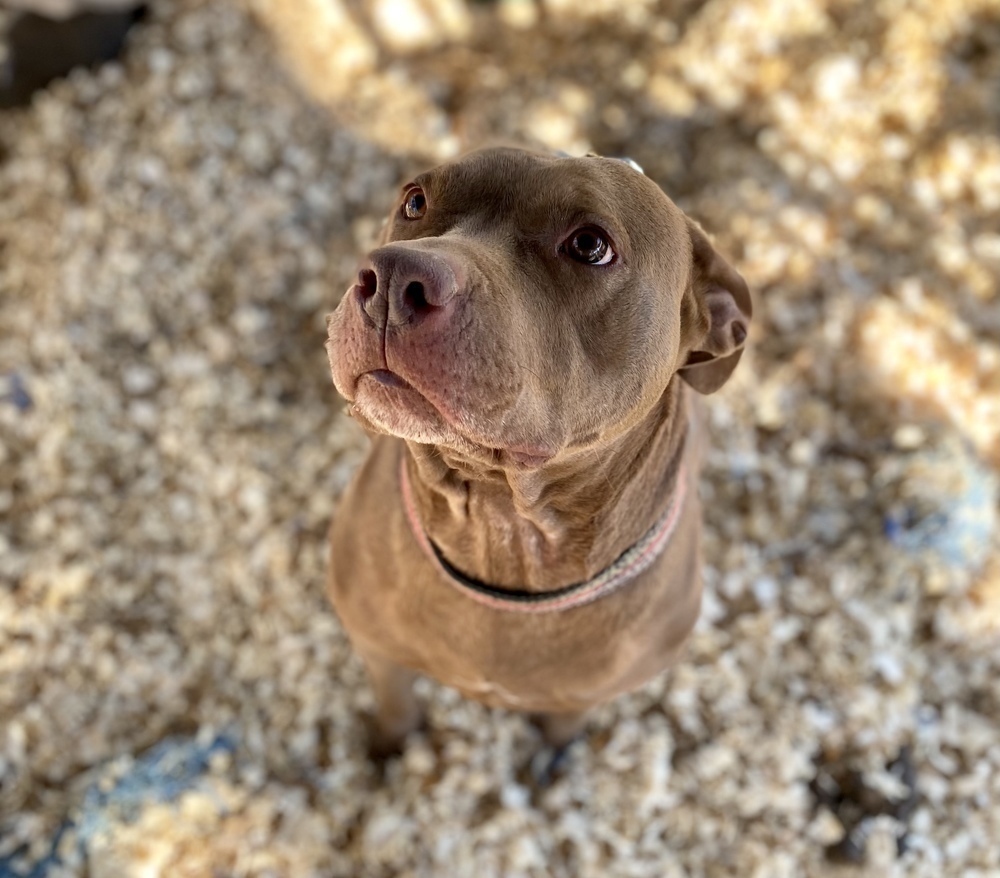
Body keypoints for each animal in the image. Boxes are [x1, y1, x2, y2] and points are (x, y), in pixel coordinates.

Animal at [328, 146, 752, 764]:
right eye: (415, 201)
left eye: (589, 245)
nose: (393, 277)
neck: (501, 520)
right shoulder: (377, 648)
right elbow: (396, 707)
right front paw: (387, 752)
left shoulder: (584, 695)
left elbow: (561, 724)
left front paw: (550, 763)